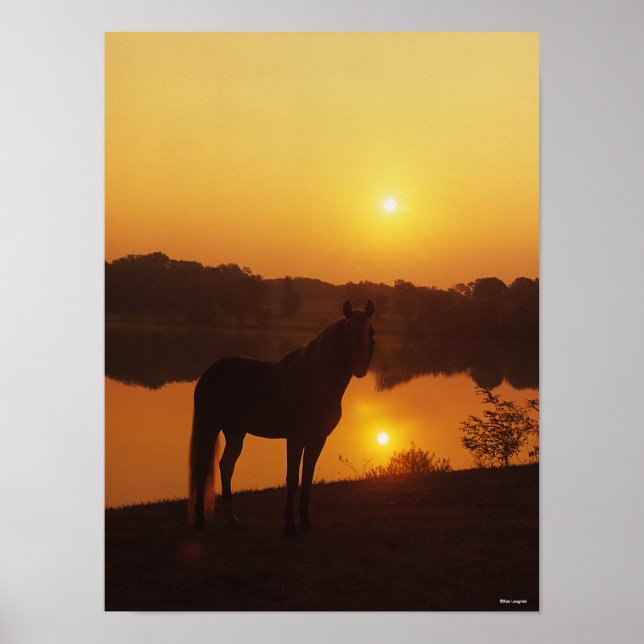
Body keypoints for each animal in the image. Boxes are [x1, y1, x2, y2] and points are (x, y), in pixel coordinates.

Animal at [188, 300, 375, 536]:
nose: (360, 367)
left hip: (236, 432)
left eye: (371, 331)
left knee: (226, 465)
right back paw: (200, 520)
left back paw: (232, 518)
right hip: (209, 426)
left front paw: (305, 522)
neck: (315, 383)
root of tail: (209, 373)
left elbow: (307, 478)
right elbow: (292, 478)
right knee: (203, 467)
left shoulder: (318, 439)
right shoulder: (294, 438)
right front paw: (290, 525)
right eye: (347, 330)